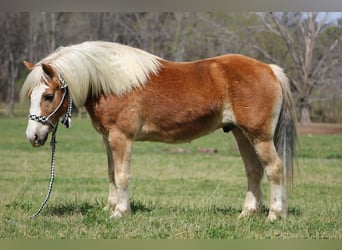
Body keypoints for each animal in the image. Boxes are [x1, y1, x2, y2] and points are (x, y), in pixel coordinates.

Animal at [20, 41, 296, 221]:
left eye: (48, 95)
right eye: (31, 95)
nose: (33, 136)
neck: (111, 82)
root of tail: (270, 69)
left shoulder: (122, 137)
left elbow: (122, 175)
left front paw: (120, 212)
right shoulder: (108, 139)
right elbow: (111, 174)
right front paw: (110, 208)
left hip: (259, 136)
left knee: (274, 169)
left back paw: (275, 215)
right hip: (241, 134)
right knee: (253, 171)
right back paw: (248, 213)